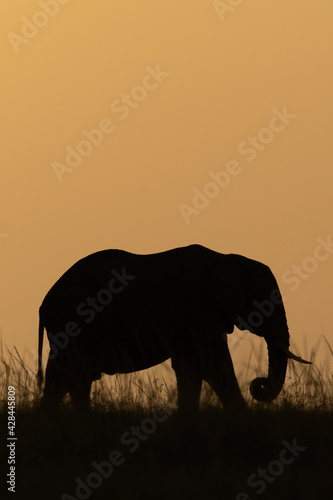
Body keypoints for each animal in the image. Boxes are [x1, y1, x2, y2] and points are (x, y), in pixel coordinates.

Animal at [36, 244, 308, 412]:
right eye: (267, 304)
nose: (258, 384)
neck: (226, 258)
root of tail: (44, 304)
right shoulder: (198, 311)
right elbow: (213, 366)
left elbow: (193, 368)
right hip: (72, 325)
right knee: (68, 376)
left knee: (71, 379)